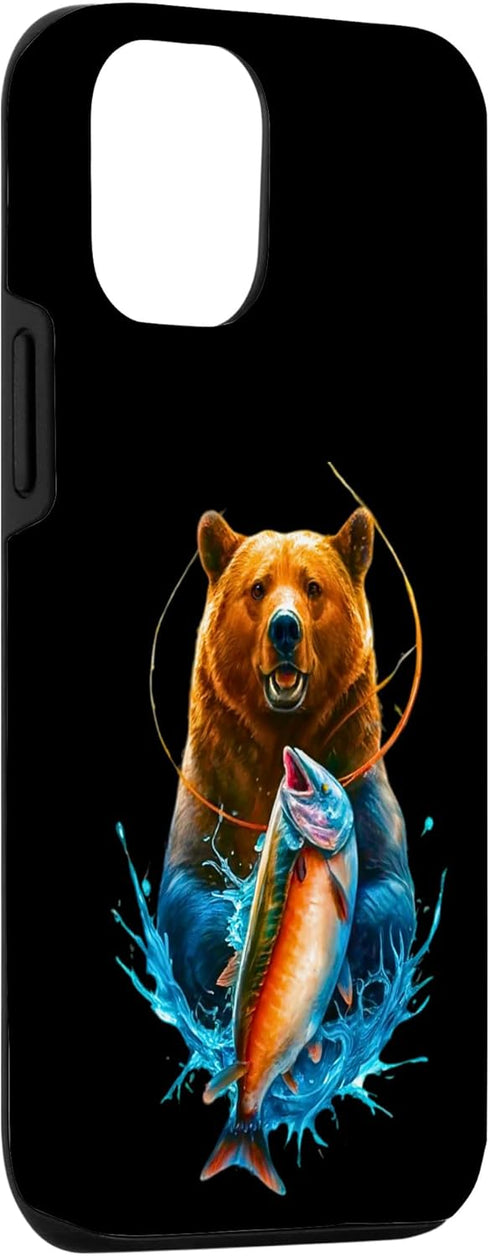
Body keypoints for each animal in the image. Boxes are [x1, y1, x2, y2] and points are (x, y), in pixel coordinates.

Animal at [157, 508, 415, 1016]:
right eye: (258, 587)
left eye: (313, 586)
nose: (284, 628)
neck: (282, 733)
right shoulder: (212, 785)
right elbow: (187, 887)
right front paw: (231, 956)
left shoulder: (359, 769)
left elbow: (390, 888)